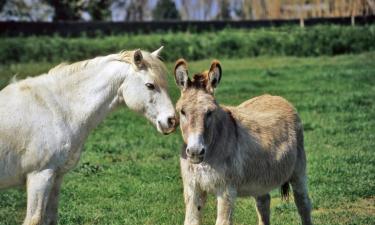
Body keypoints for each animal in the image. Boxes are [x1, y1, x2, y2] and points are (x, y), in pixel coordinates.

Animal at [0, 46, 178, 224]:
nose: (172, 121)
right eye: (150, 85)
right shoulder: (39, 176)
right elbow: (34, 219)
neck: (56, 109)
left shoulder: (55, 177)